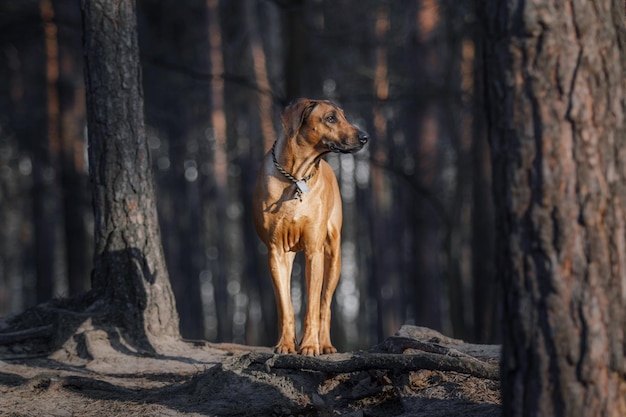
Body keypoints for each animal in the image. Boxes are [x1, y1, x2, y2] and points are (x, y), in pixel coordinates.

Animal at [252, 97, 368, 354]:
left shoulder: (314, 251)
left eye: (344, 116)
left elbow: (314, 307)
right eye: (331, 118)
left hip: (334, 255)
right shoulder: (275, 252)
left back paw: (324, 344)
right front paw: (286, 344)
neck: (295, 177)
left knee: (325, 306)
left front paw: (309, 345)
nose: (365, 136)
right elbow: (286, 306)